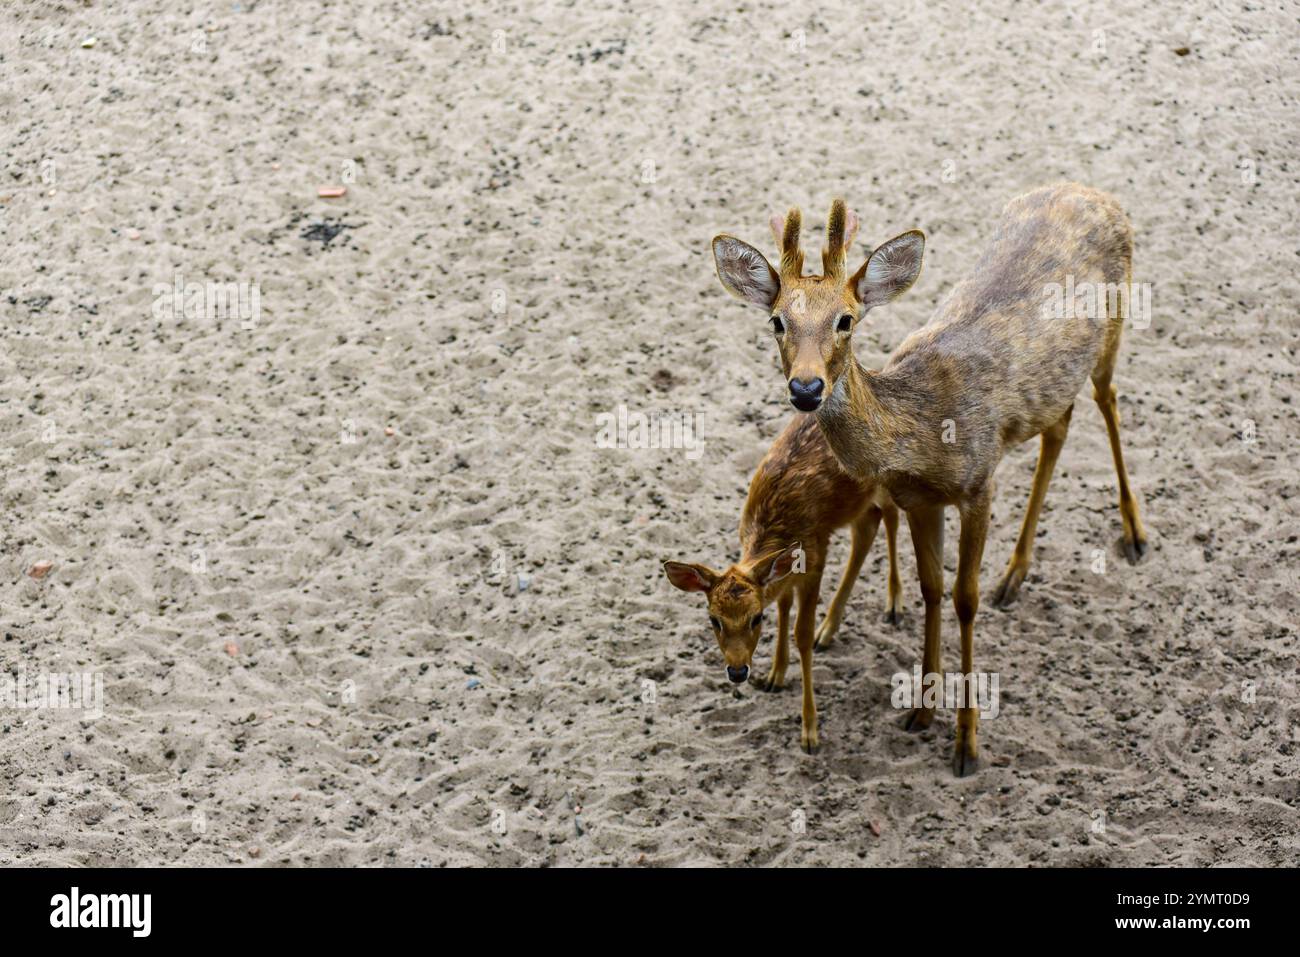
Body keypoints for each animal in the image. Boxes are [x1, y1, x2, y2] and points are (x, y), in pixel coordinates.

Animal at [711, 183, 1149, 775]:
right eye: (777, 321)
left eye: (846, 320)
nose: (806, 388)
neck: (922, 435)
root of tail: (1091, 190)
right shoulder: (918, 499)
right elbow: (931, 590)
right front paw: (920, 710)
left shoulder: (979, 481)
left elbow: (964, 598)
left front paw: (966, 743)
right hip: (1056, 385)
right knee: (1061, 424)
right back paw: (1015, 573)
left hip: (1115, 325)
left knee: (1108, 400)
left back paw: (1135, 534)